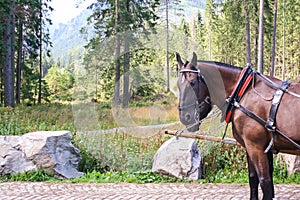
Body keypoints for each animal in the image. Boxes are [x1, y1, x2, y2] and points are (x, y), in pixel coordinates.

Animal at [176, 52, 300, 200]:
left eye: (192, 83)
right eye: (178, 85)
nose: (185, 117)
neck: (243, 92)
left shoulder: (256, 147)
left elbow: (265, 183)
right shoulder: (254, 147)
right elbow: (253, 179)